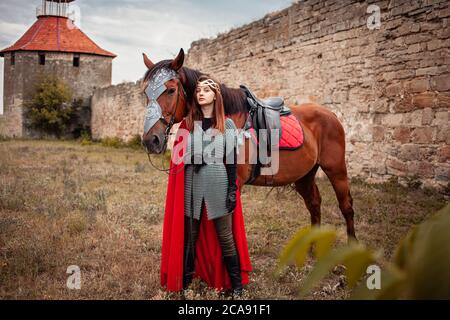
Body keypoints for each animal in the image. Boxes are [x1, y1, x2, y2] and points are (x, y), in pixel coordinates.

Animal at [142, 48, 356, 239]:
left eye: (171, 90)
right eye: (145, 93)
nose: (150, 140)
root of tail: (331, 115)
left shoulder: (232, 185)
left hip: (336, 169)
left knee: (346, 206)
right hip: (305, 175)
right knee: (314, 203)